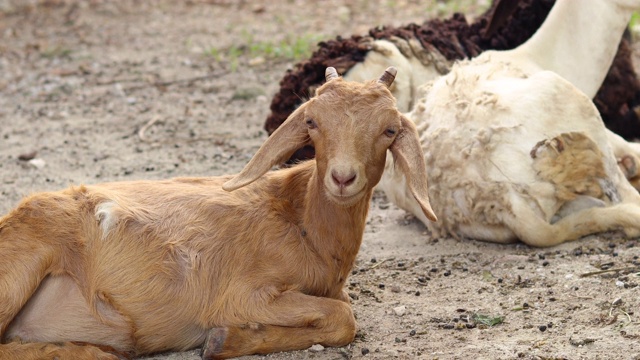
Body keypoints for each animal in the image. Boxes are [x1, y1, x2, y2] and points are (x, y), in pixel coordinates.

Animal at [0, 68, 436, 360]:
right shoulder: (242, 295)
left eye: (389, 130)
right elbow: (345, 317)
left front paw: (227, 339)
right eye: (312, 122)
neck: (301, 224)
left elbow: (341, 314)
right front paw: (221, 340)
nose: (343, 178)